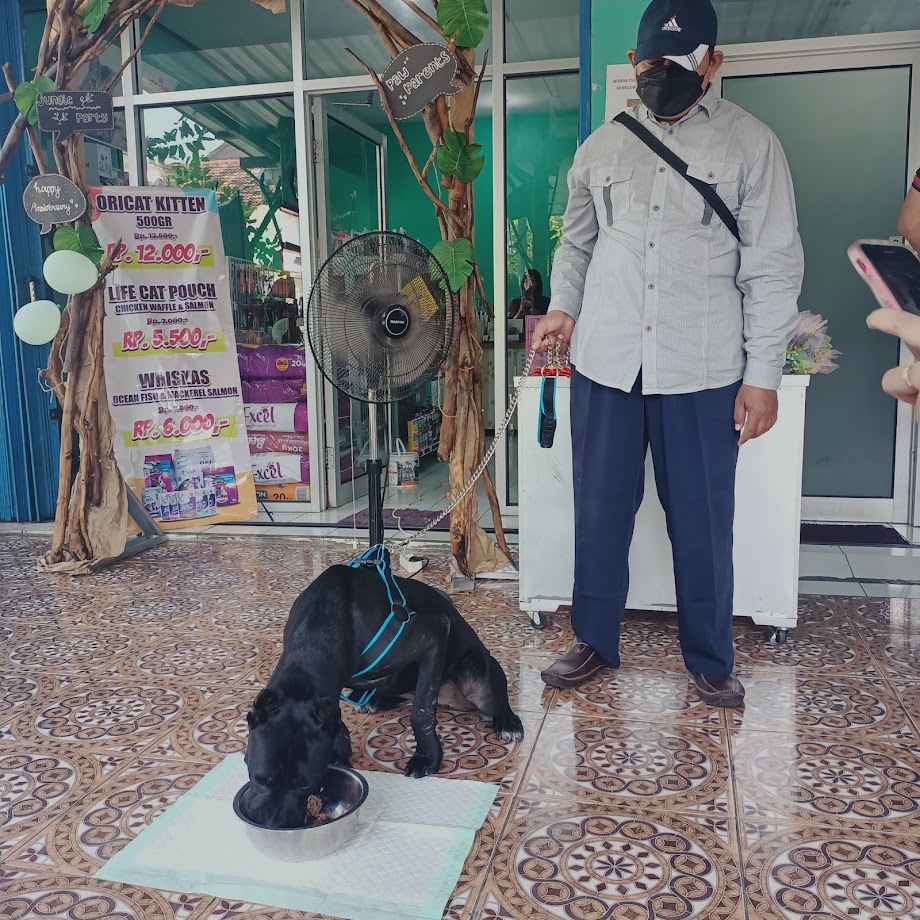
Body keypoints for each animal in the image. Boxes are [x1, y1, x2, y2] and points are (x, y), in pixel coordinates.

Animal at [242, 563, 524, 829]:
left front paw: (426, 757)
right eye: (259, 777)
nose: (272, 825)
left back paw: (508, 722)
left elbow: (421, 712)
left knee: (495, 702)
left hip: (481, 686)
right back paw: (373, 700)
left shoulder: (433, 635)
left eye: (305, 785)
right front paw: (340, 747)